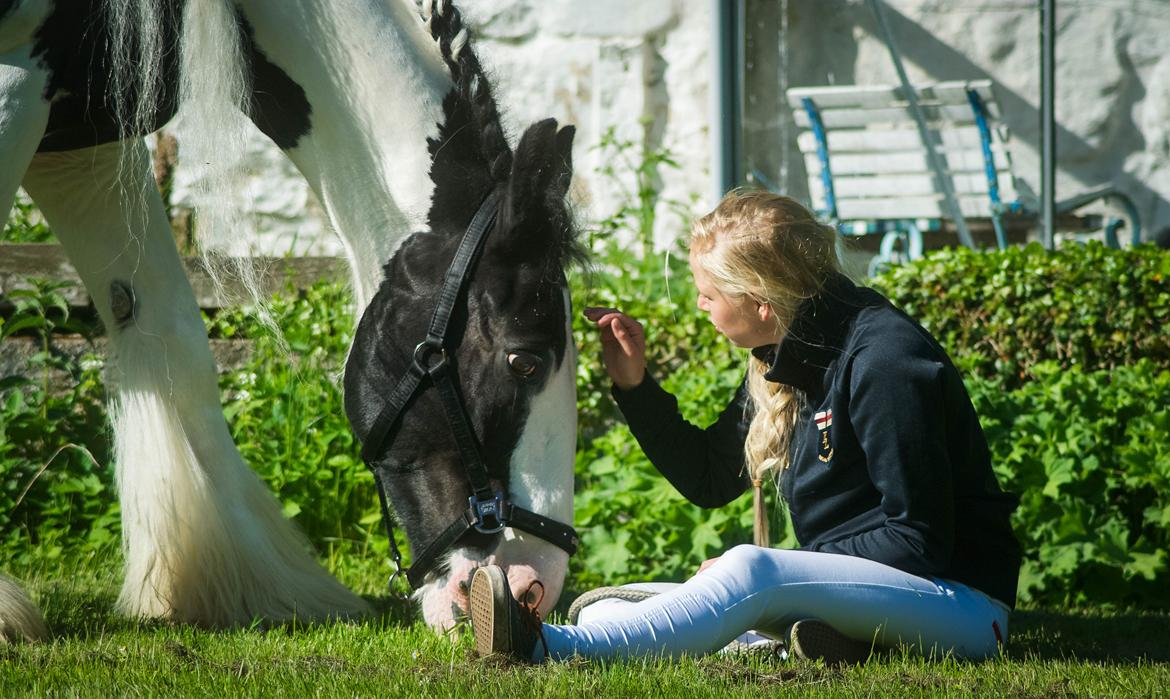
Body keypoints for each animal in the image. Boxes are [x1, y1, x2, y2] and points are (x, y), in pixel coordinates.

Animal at [0, 0, 582, 636]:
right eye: (524, 360)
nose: (532, 588)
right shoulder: (19, 83)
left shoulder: (87, 134)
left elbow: (171, 332)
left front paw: (230, 582)